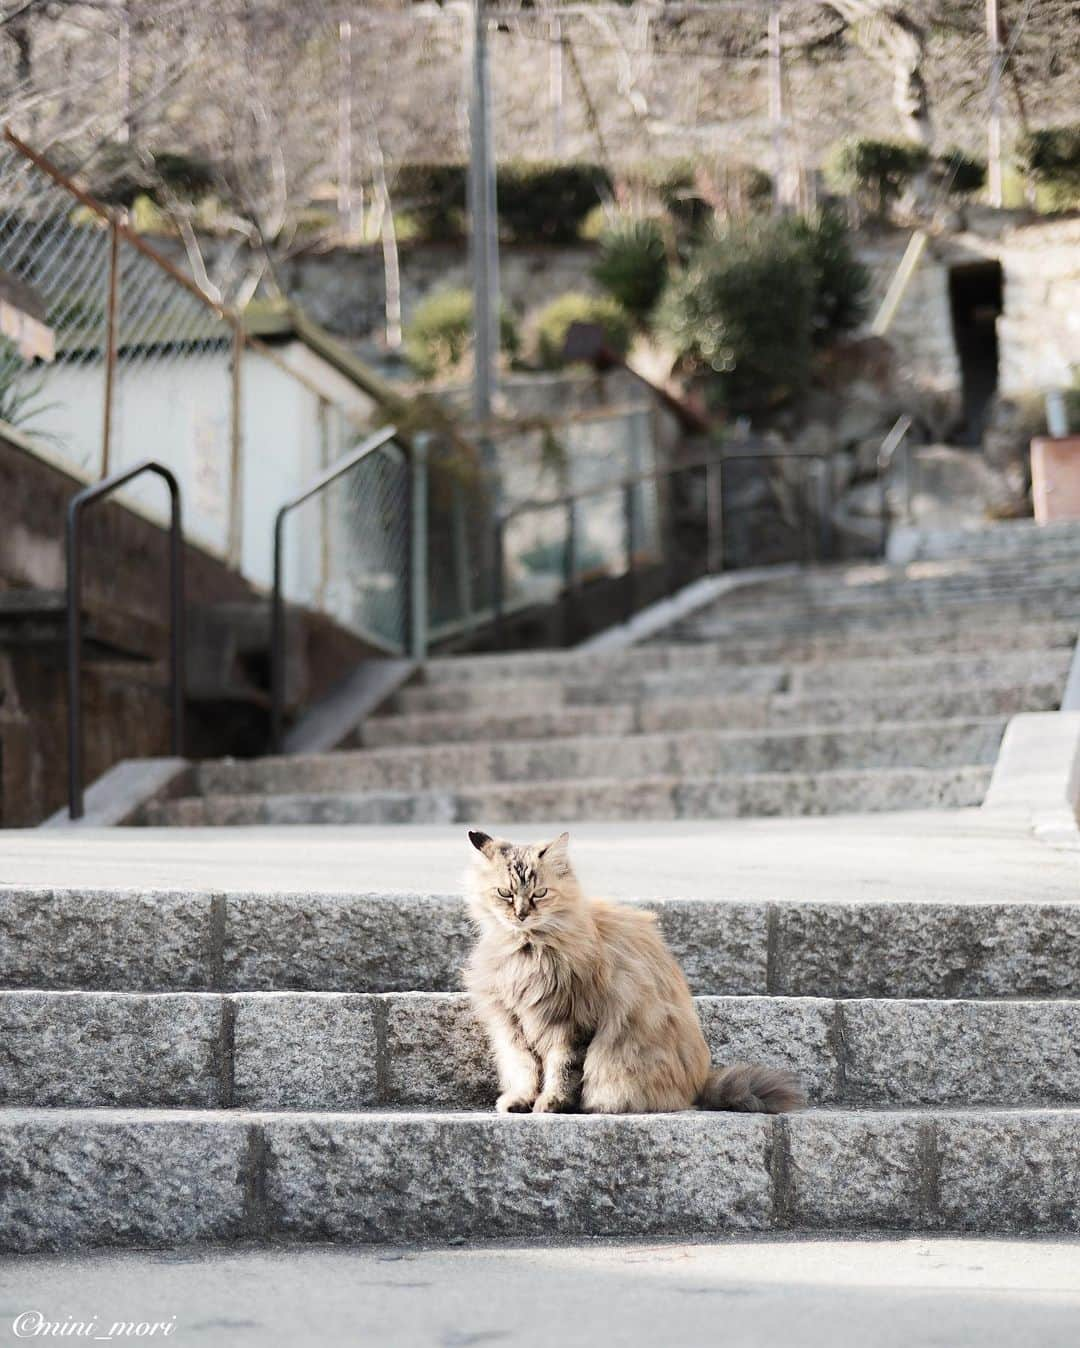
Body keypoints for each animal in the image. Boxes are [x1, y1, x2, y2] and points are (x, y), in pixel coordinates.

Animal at [458, 830, 803, 1116]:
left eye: (540, 893)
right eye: (505, 893)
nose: (521, 914)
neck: (526, 951)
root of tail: (698, 1088)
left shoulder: (571, 1021)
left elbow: (562, 1070)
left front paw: (551, 1105)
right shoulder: (512, 1022)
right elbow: (525, 1068)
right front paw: (521, 1101)